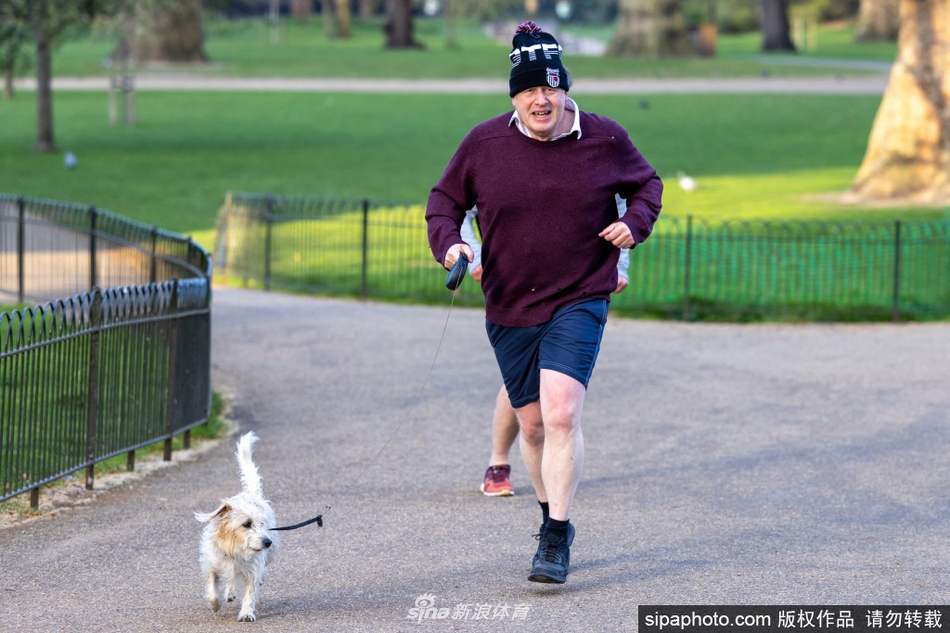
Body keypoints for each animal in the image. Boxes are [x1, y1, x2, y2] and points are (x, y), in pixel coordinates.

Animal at [195, 430, 278, 624]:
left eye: (263, 525)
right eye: (246, 524)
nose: (268, 542)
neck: (234, 549)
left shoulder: (253, 570)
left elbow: (250, 592)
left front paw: (246, 613)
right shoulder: (212, 565)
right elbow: (212, 587)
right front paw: (215, 604)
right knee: (230, 581)